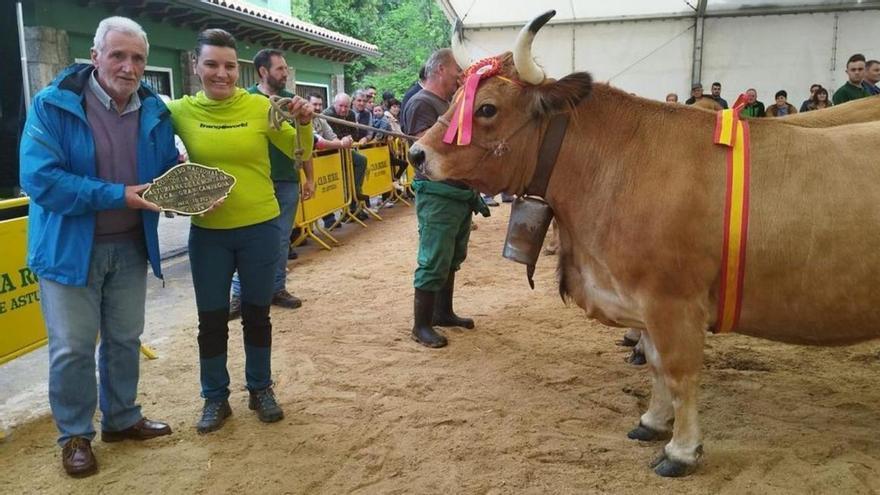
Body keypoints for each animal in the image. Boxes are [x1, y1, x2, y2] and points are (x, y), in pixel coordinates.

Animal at [410, 10, 880, 476]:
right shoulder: (642, 300)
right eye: (455, 98)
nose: (416, 153)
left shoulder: (673, 301)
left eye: (486, 108)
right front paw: (653, 421)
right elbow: (655, 366)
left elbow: (678, 373)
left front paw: (681, 450)